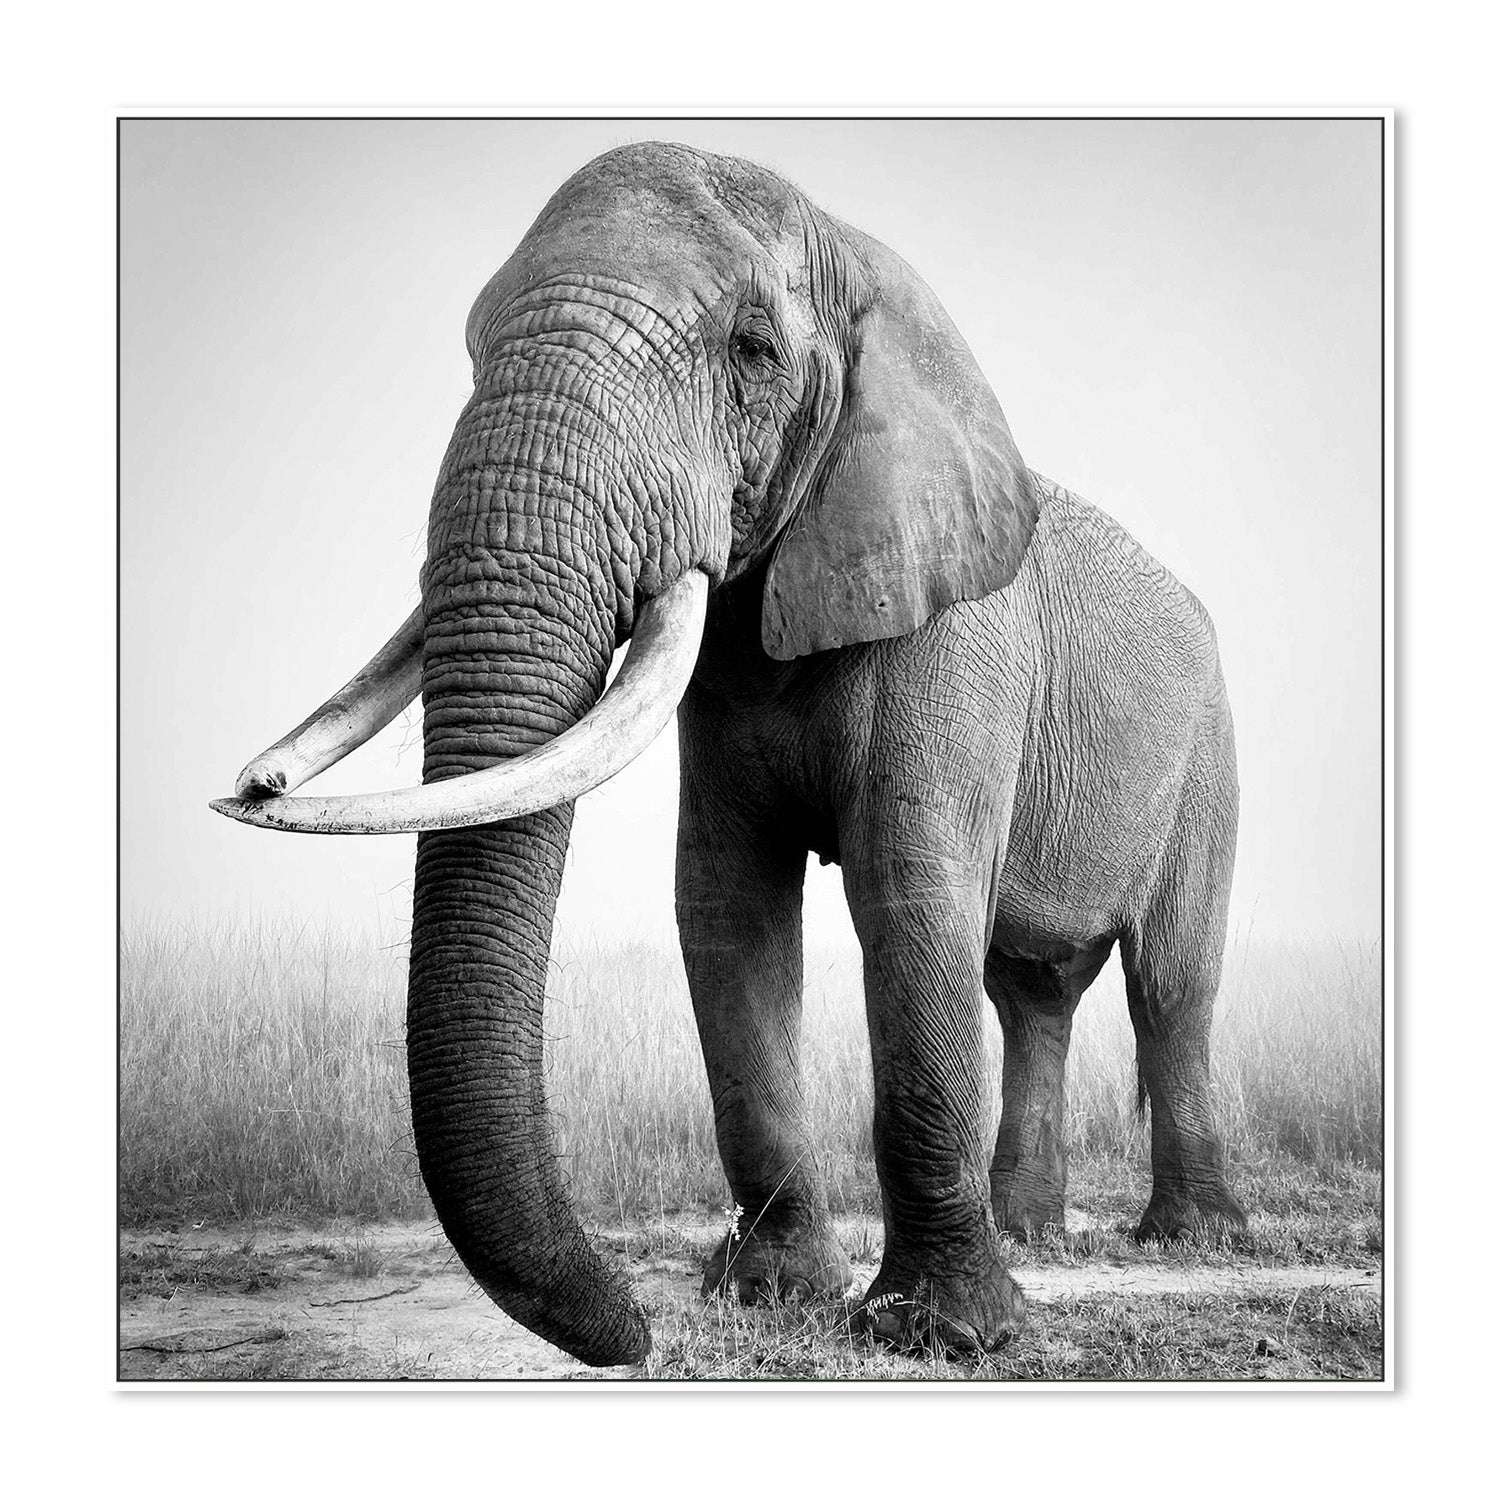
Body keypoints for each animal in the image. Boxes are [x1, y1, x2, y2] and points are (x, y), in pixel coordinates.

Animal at [213, 141, 1246, 1368]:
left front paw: (943, 1335)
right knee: (1030, 989)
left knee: (1170, 980)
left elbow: (911, 896)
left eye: (752, 352)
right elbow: (728, 908)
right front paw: (774, 1297)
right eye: (469, 348)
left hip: (1210, 754)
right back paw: (1032, 1232)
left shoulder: (954, 636)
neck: (860, 255)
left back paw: (1188, 1241)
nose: (635, 1332)